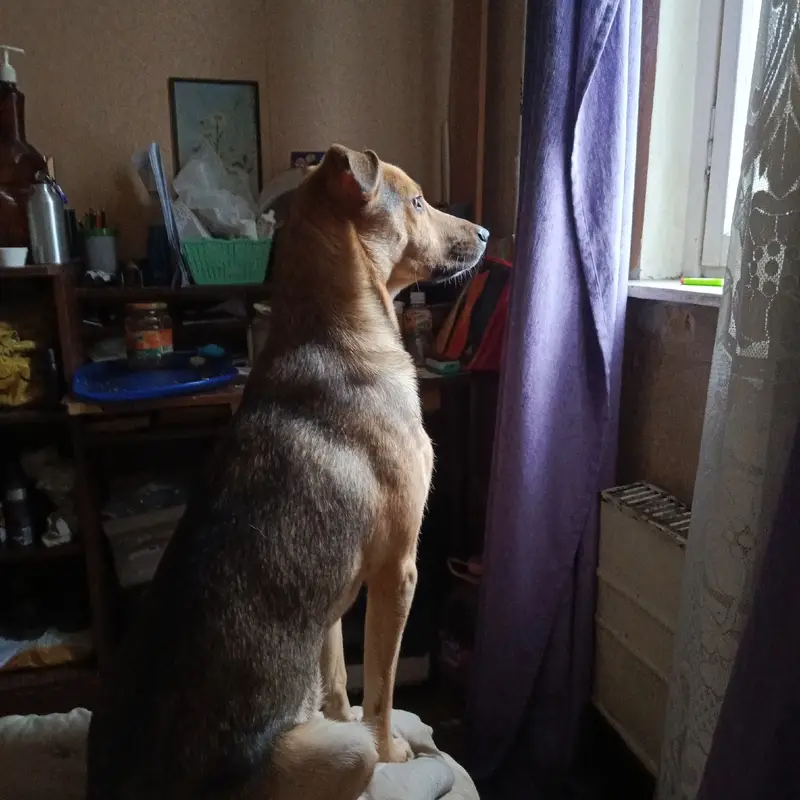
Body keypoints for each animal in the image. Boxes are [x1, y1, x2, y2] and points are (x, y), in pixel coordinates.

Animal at [86, 144, 488, 799]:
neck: (342, 330)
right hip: (343, 757)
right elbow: (380, 693)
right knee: (360, 744)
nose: (484, 233)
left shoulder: (332, 600)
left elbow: (338, 682)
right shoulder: (397, 571)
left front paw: (340, 706)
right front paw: (398, 752)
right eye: (418, 201)